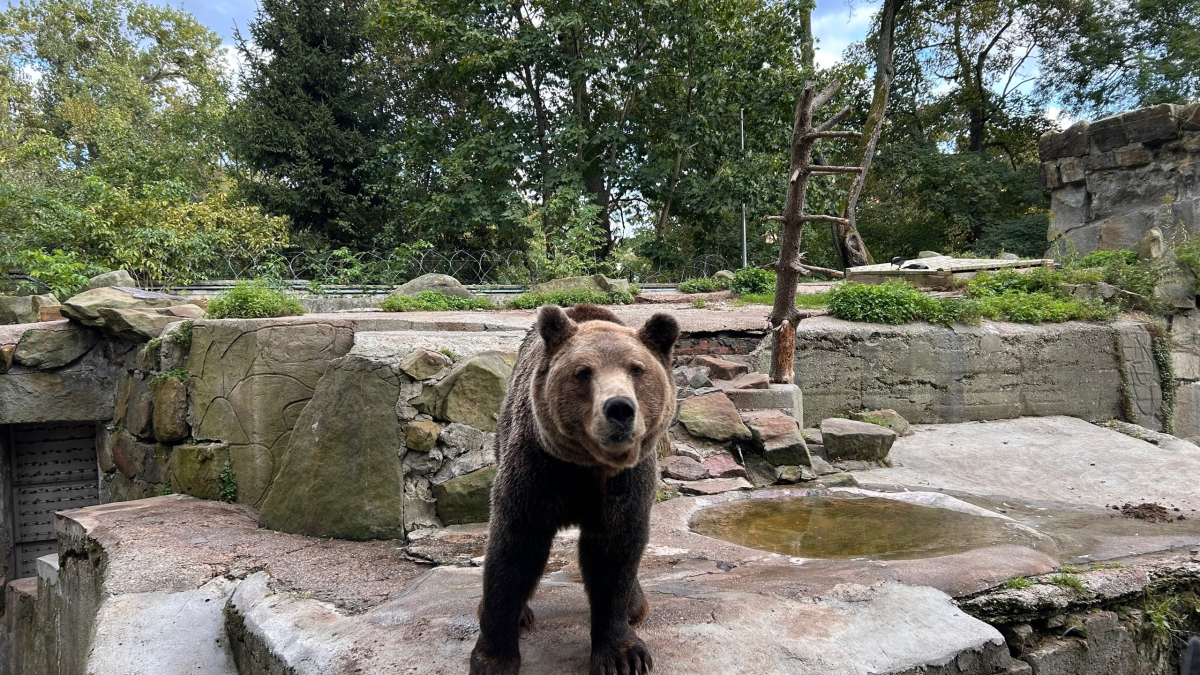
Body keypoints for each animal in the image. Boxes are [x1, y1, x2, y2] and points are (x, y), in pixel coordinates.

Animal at [470, 303, 680, 675]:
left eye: (637, 369)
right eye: (583, 372)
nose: (619, 408)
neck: (588, 465)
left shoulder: (624, 482)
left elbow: (614, 553)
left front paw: (623, 656)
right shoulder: (538, 469)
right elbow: (514, 551)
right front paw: (494, 656)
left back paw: (634, 604)